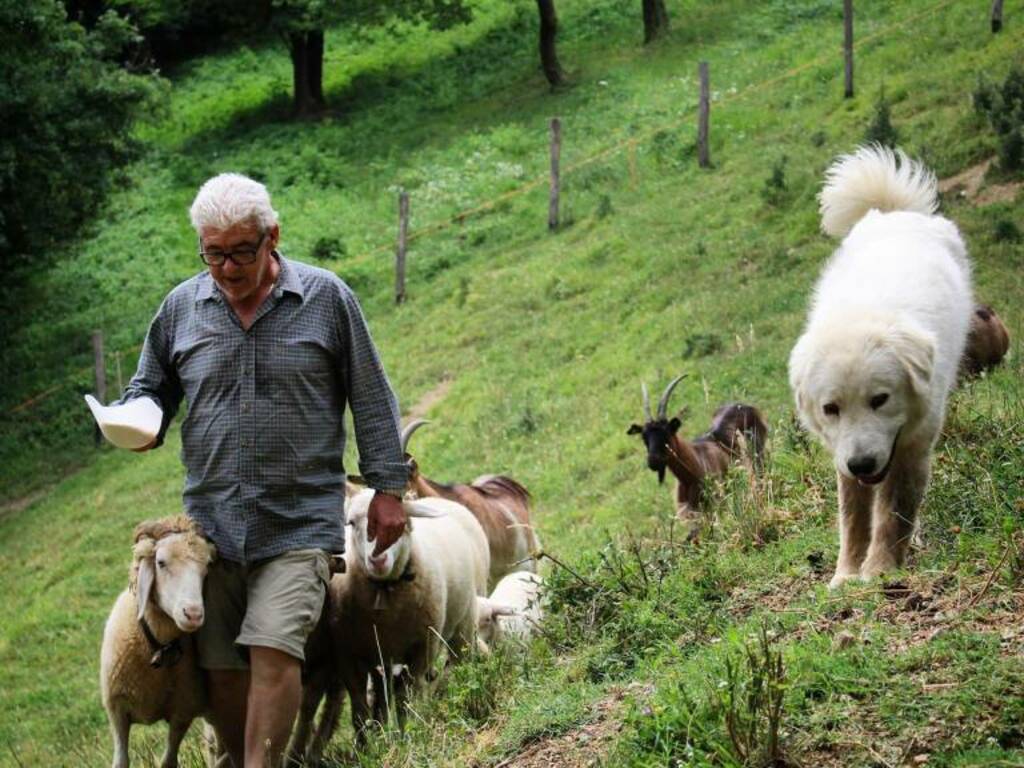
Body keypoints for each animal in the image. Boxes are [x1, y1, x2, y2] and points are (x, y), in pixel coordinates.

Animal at [98, 518, 217, 768]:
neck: (158, 647)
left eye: (207, 567)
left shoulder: (182, 712)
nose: (193, 614)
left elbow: (168, 761)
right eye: (161, 562)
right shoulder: (116, 711)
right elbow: (121, 761)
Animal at [622, 376, 770, 536]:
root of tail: (743, 405)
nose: (653, 461)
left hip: (757, 453)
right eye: (644, 438)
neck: (692, 470)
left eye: (666, 433)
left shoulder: (718, 501)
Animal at [790, 145, 974, 589]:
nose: (862, 464)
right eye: (831, 409)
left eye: (880, 399)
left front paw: (879, 571)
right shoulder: (842, 454)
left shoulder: (911, 447)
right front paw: (845, 575)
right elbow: (853, 518)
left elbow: (893, 513)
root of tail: (894, 213)